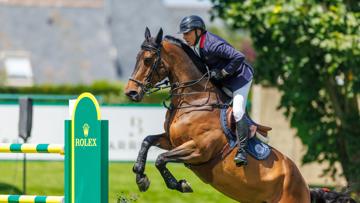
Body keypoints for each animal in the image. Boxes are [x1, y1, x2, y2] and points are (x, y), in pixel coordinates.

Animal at [125, 27, 356, 203]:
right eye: (136, 58)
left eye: (148, 60)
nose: (131, 92)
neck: (194, 101)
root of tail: (306, 186)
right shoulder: (172, 141)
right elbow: (147, 141)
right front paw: (140, 176)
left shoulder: (199, 150)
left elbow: (161, 159)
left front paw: (179, 184)